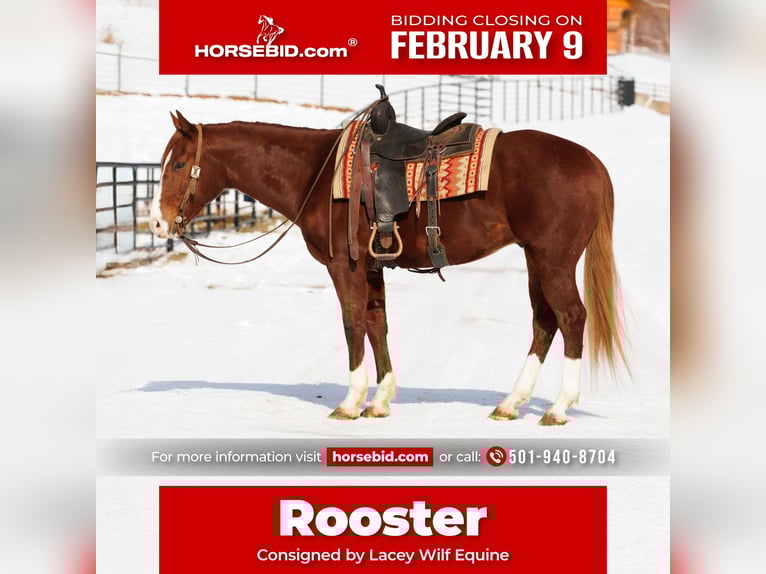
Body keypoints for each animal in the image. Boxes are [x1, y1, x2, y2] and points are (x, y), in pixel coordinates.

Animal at [150, 110, 627, 425]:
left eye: (179, 163)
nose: (156, 223)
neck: (316, 173)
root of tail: (591, 162)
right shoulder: (373, 266)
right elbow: (376, 324)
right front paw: (379, 401)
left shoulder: (344, 266)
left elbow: (352, 324)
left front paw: (350, 402)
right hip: (535, 258)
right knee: (544, 321)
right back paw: (511, 403)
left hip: (553, 259)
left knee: (571, 317)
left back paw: (559, 408)